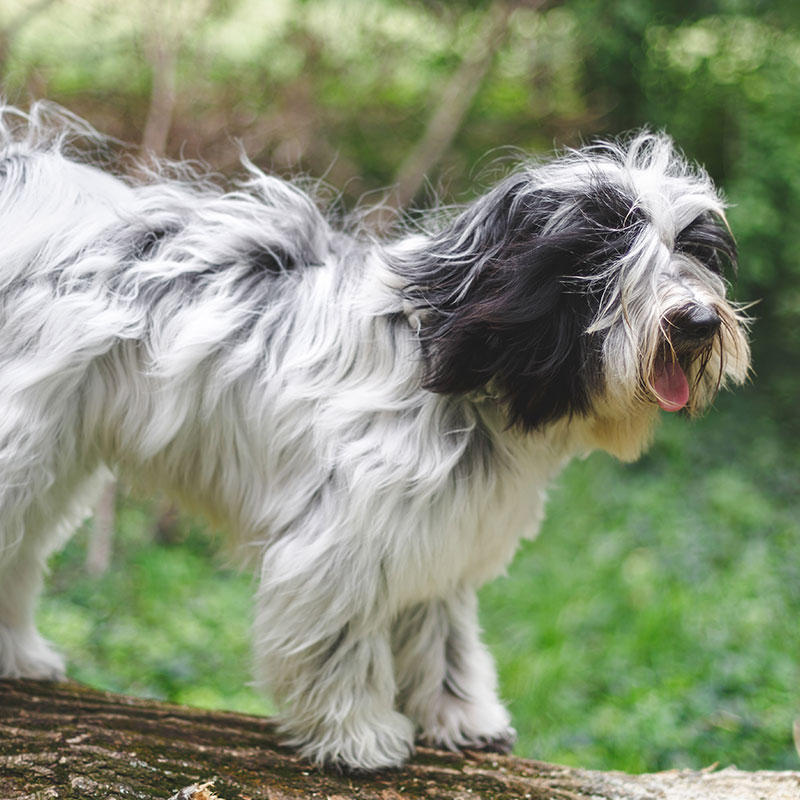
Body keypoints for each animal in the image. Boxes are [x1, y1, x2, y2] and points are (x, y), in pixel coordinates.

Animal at [0, 103, 752, 772]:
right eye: (604, 251)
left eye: (693, 249)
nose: (696, 320)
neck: (457, 365)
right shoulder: (342, 540)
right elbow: (339, 641)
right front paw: (355, 735)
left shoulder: (440, 533)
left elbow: (443, 637)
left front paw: (460, 715)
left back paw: (18, 654)